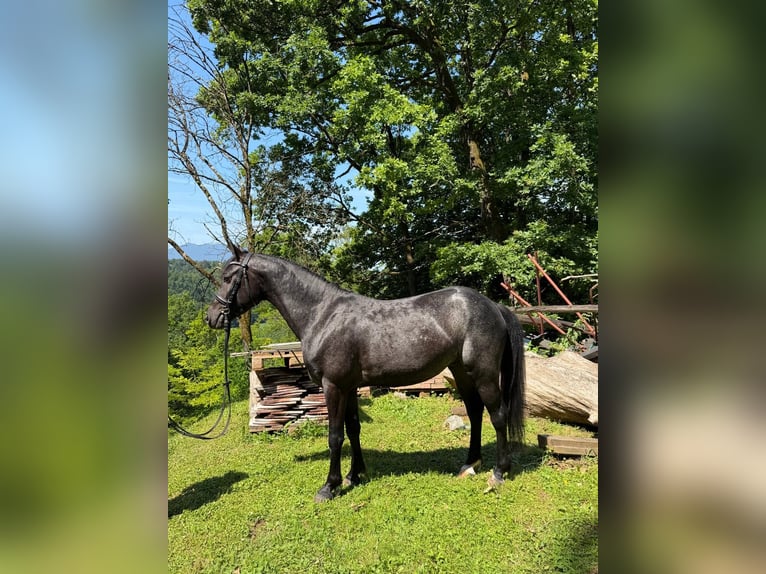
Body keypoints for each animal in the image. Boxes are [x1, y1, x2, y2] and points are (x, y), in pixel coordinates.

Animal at [206, 247, 526, 502]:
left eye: (228, 278)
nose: (212, 317)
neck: (323, 315)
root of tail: (492, 306)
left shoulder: (333, 386)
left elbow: (335, 436)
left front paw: (329, 487)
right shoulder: (348, 387)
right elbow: (353, 429)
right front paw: (354, 475)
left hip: (483, 374)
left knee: (497, 415)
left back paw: (499, 471)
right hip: (461, 372)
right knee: (474, 412)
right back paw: (470, 464)